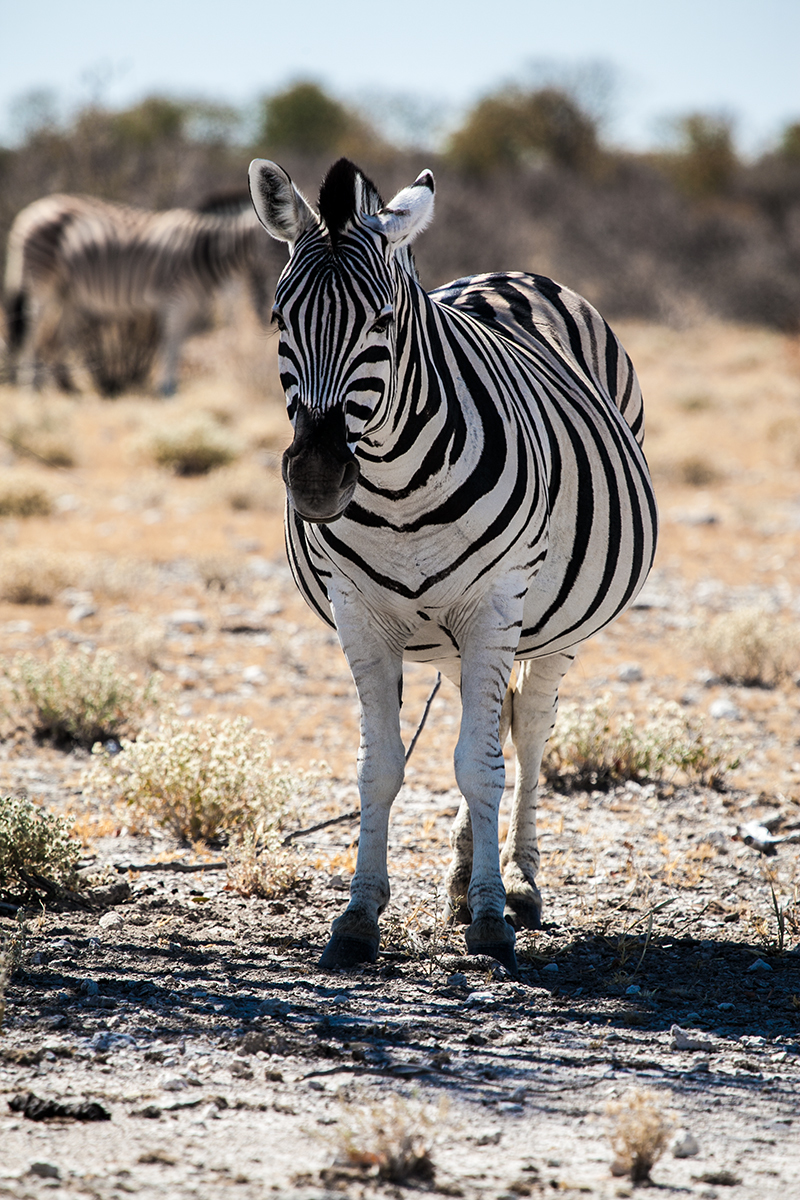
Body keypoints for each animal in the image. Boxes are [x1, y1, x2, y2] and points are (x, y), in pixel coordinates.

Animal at [2, 192, 284, 396]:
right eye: (279, 245)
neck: (205, 250)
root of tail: (28, 212)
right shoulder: (177, 300)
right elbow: (170, 342)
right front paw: (167, 388)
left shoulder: (191, 303)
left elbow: (178, 343)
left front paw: (171, 386)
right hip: (42, 281)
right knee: (32, 327)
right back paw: (30, 385)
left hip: (66, 292)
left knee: (61, 333)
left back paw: (66, 386)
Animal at [248, 157, 657, 974]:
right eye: (279, 320)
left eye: (381, 321)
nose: (316, 481)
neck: (398, 484)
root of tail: (512, 275)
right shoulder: (361, 613)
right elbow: (381, 766)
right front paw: (358, 915)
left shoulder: (496, 604)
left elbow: (481, 766)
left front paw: (493, 918)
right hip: (450, 632)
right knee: (488, 720)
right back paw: (466, 874)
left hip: (546, 623)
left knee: (525, 731)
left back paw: (518, 882)